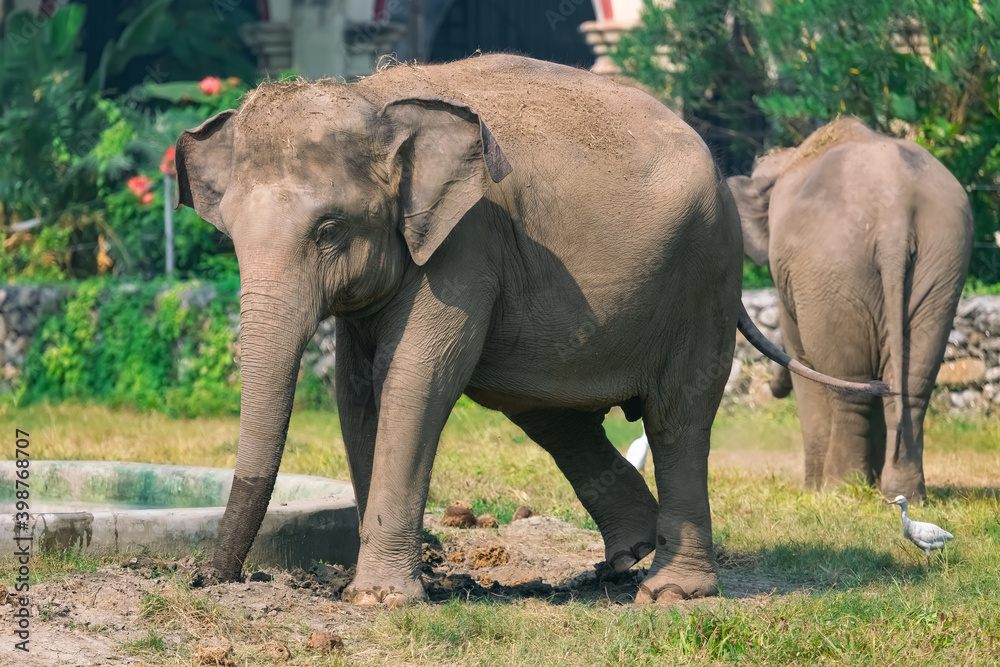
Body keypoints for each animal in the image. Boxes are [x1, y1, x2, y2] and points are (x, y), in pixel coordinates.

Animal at [175, 55, 885, 606]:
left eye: (329, 229)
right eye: (231, 234)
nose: (212, 579)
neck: (376, 99)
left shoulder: (467, 244)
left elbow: (415, 379)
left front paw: (379, 599)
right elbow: (356, 392)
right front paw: (393, 581)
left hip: (703, 278)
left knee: (676, 417)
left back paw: (669, 593)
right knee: (553, 415)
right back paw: (622, 563)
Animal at [727, 117, 973, 502]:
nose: (770, 387)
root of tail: (894, 214)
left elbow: (801, 358)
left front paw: (812, 490)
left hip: (834, 270)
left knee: (850, 383)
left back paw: (838, 489)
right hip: (942, 260)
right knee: (909, 383)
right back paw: (900, 494)